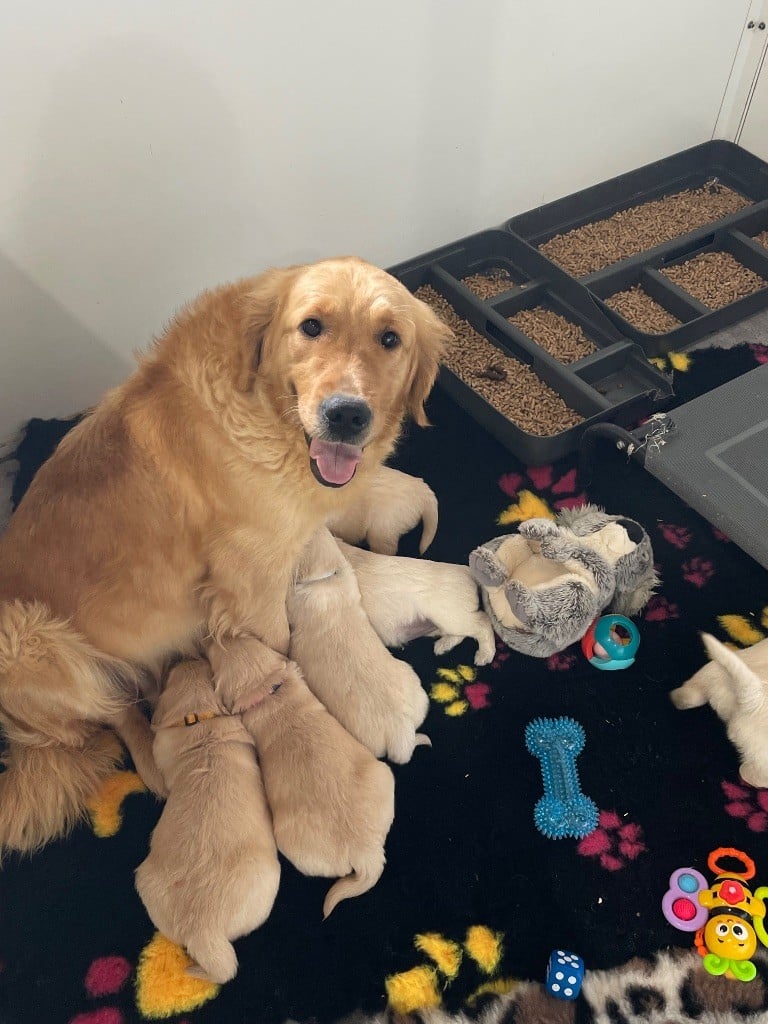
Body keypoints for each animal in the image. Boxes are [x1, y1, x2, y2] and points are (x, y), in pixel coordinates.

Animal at [337, 540, 495, 667]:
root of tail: (466, 570)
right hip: (443, 623)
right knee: (462, 633)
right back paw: (443, 645)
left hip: (450, 616)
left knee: (483, 623)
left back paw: (485, 654)